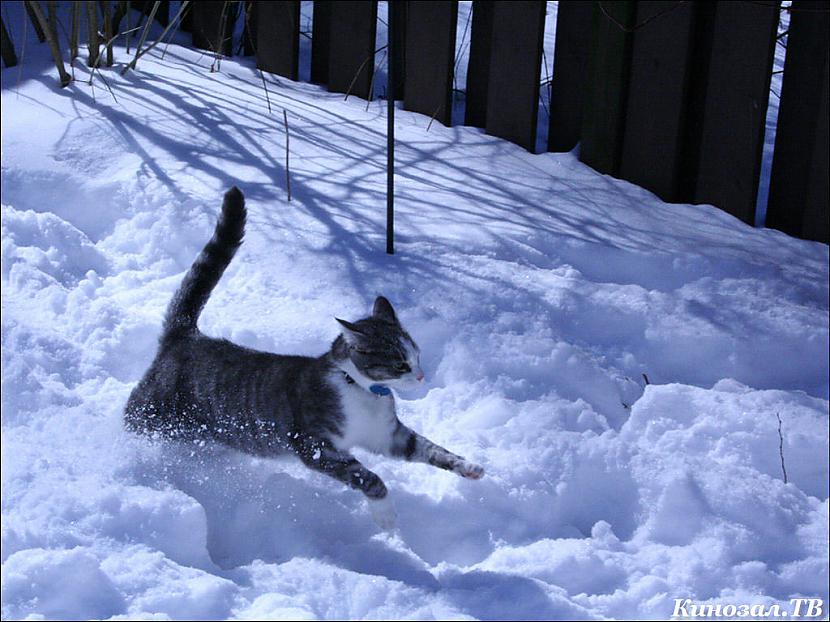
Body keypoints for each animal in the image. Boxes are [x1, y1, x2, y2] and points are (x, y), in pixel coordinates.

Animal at [125, 188, 488, 528]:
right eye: (401, 363)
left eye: (418, 356)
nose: (422, 376)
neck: (361, 390)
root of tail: (186, 335)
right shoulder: (314, 445)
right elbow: (368, 476)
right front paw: (385, 515)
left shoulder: (389, 436)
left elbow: (429, 448)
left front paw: (468, 466)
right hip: (154, 414)